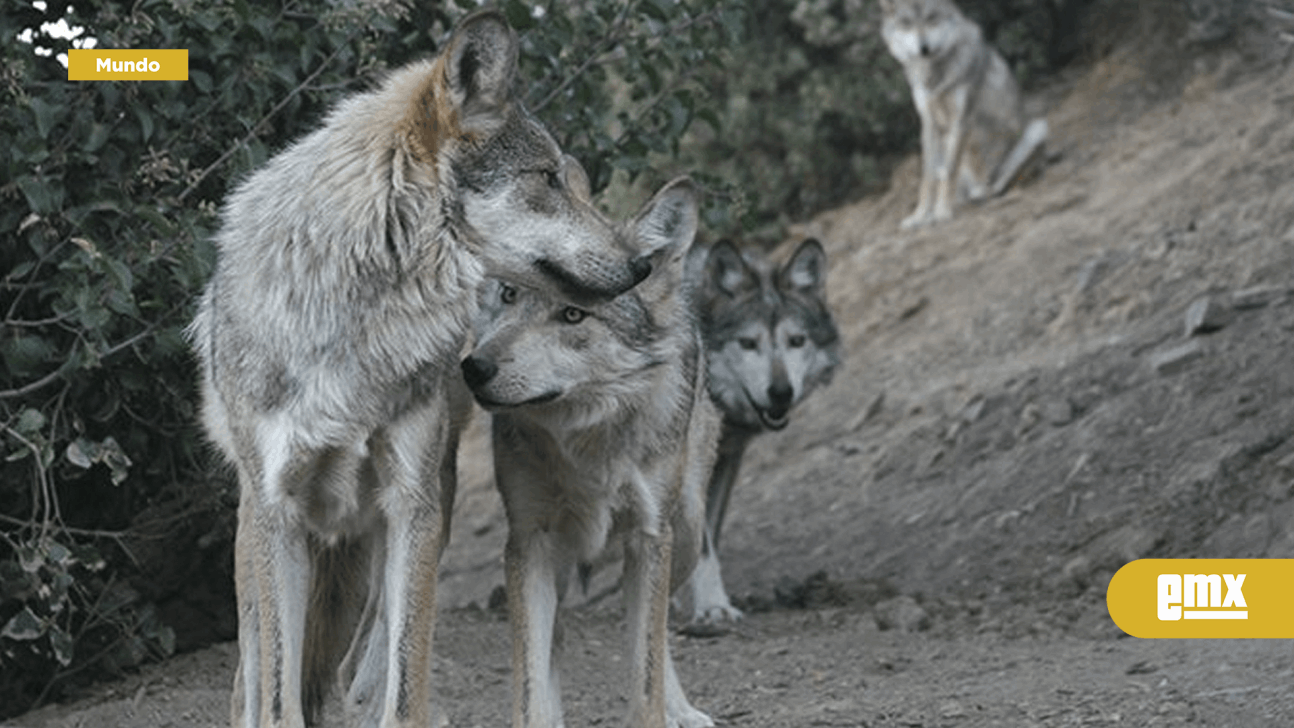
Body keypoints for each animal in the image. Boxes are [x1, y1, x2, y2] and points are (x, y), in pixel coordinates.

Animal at [191, 11, 657, 728]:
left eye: (574, 184)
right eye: (547, 179)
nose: (642, 266)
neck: (359, 317)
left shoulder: (412, 499)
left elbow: (405, 681)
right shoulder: (278, 511)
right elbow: (277, 692)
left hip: (423, 502)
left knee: (371, 653)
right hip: (259, 535)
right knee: (254, 666)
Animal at [458, 178, 719, 728]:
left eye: (573, 314)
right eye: (510, 294)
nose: (475, 367)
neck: (588, 443)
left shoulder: (649, 537)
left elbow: (645, 668)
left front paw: (662, 711)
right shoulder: (528, 540)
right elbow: (531, 676)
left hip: (685, 530)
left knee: (656, 628)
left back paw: (682, 710)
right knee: (555, 638)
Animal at [683, 236, 843, 623]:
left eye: (797, 341)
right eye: (747, 343)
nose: (781, 393)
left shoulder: (728, 460)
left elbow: (710, 535)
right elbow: (703, 542)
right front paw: (712, 607)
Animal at [879, 0, 1050, 230]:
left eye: (931, 17)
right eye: (907, 23)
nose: (924, 48)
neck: (935, 73)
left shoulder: (961, 120)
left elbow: (949, 172)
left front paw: (942, 212)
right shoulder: (929, 123)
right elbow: (928, 178)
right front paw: (920, 216)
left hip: (1038, 129)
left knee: (997, 184)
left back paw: (983, 194)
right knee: (955, 183)